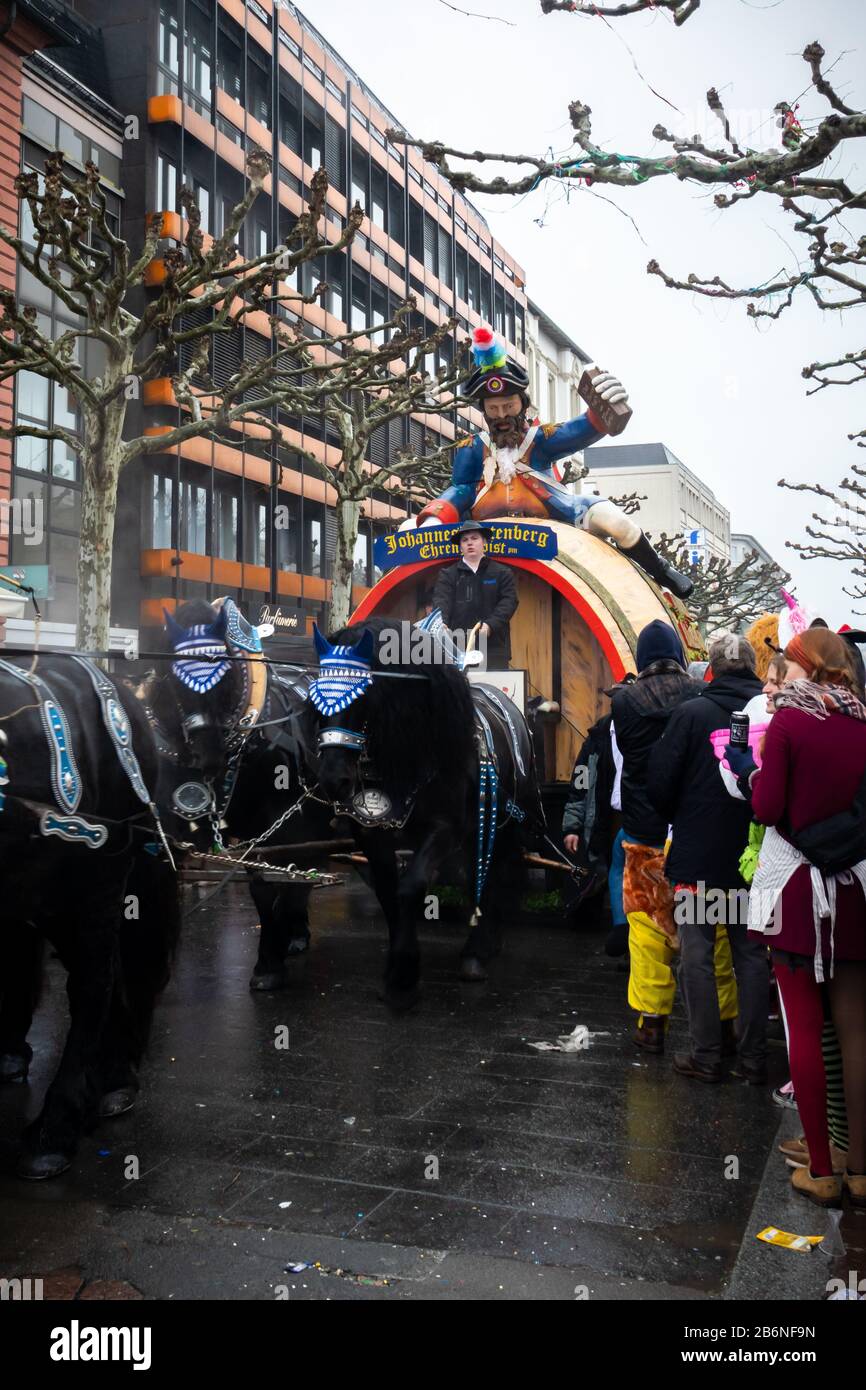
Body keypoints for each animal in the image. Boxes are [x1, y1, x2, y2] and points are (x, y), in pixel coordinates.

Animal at [311, 617, 542, 1000]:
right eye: (314, 694)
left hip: (502, 821)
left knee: (494, 871)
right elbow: (388, 892)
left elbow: (411, 886)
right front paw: (394, 970)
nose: (333, 779)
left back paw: (478, 950)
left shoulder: (446, 827)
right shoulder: (371, 833)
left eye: (362, 695)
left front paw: (405, 970)